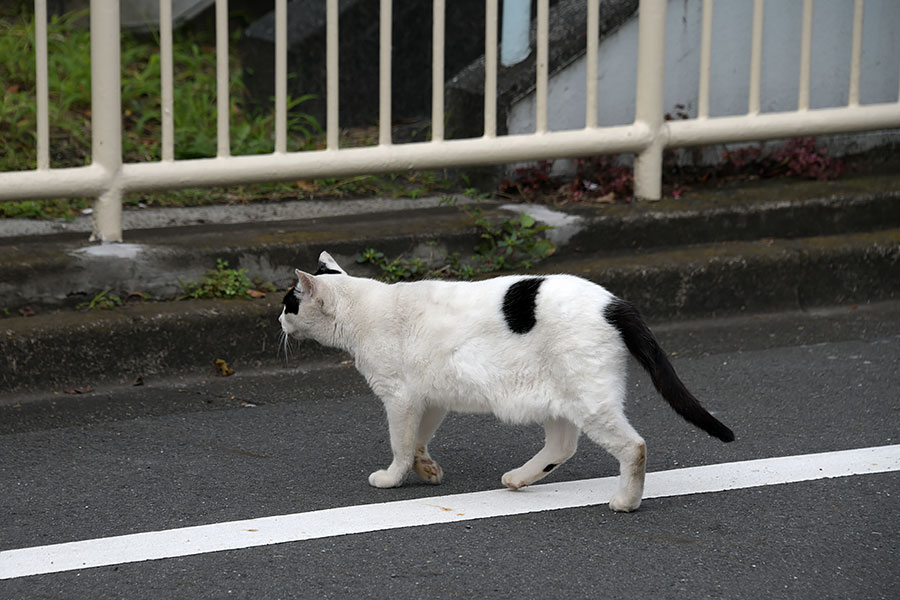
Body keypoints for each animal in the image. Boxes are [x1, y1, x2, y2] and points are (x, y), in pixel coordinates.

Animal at [282, 251, 732, 512]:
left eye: (288, 304)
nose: (277, 319)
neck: (362, 310)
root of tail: (615, 302)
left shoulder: (400, 397)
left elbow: (400, 443)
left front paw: (393, 477)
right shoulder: (430, 398)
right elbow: (419, 439)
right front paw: (426, 468)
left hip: (589, 401)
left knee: (634, 446)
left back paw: (625, 501)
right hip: (560, 399)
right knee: (562, 446)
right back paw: (519, 478)